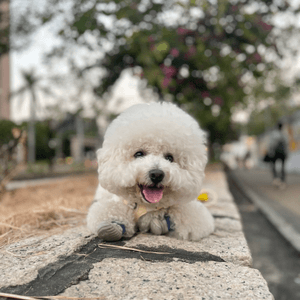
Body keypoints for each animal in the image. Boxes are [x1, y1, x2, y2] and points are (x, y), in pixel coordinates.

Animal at [85, 102, 214, 241]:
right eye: (139, 154)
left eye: (169, 158)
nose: (157, 174)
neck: (146, 205)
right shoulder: (114, 203)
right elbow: (109, 209)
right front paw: (114, 224)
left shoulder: (193, 214)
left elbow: (184, 215)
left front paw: (161, 220)